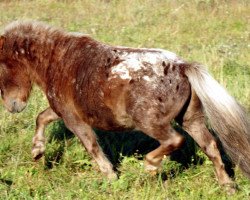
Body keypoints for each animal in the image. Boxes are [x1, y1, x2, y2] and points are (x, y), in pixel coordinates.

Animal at [0, 21, 249, 193]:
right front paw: (37, 151)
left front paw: (110, 177)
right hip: (191, 119)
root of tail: (182, 66)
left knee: (175, 140)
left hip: (149, 122)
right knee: (211, 146)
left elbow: (91, 146)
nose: (13, 107)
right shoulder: (63, 110)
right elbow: (41, 117)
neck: (57, 60)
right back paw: (227, 186)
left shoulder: (74, 118)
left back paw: (150, 166)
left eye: (2, 68)